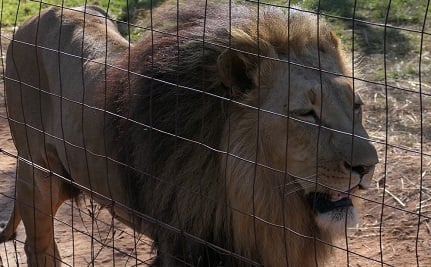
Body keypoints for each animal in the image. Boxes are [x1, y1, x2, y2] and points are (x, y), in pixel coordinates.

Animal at [0, 1, 378, 266]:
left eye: (357, 106)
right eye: (306, 114)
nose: (368, 166)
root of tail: (38, 16)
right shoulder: (185, 245)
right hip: (39, 175)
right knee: (38, 247)